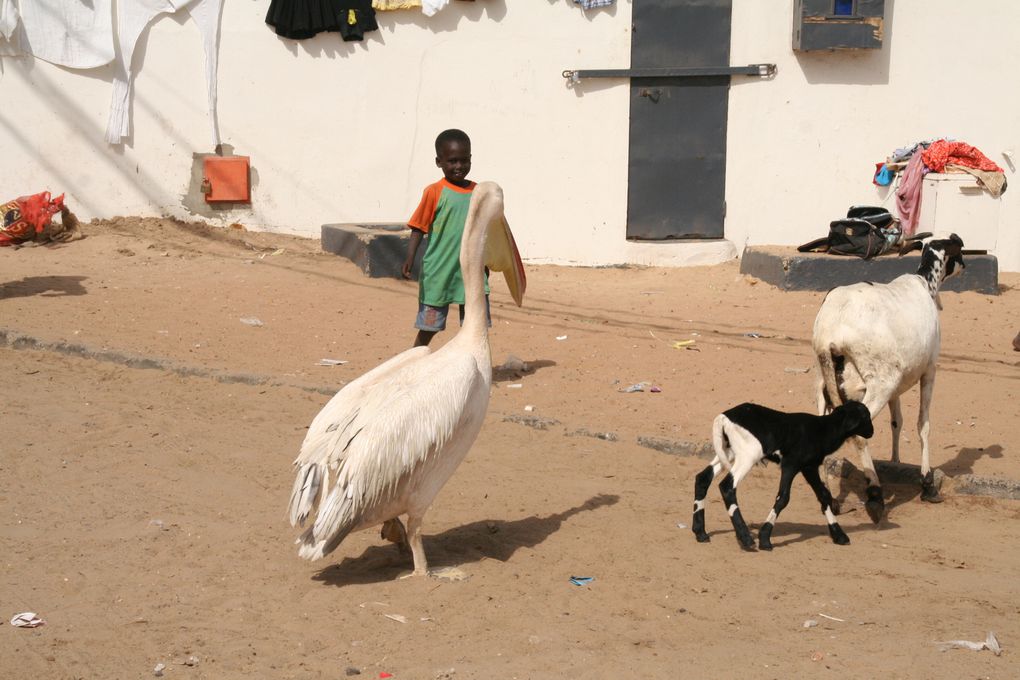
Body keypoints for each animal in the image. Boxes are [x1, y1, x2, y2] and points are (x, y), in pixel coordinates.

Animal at [811, 234, 962, 521]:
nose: (964, 265)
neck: (925, 283)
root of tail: (829, 330)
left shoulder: (897, 389)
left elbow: (897, 421)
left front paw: (896, 462)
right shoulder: (930, 370)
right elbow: (923, 425)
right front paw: (927, 485)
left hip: (829, 387)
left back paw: (831, 499)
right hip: (879, 384)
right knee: (857, 435)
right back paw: (875, 495)